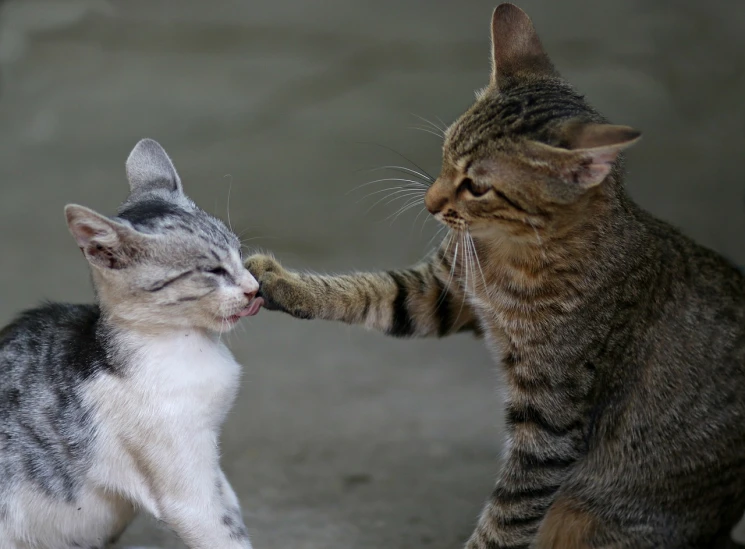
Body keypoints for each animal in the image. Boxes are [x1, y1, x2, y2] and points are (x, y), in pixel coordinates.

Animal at [0, 138, 264, 548]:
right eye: (213, 270)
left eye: (238, 254)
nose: (255, 288)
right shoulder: (187, 486)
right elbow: (222, 534)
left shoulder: (212, 468)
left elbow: (230, 512)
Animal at [247, 4, 744, 548]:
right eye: (445, 150)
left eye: (478, 187)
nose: (429, 202)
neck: (510, 253)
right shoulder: (443, 292)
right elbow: (368, 291)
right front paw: (283, 283)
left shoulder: (550, 422)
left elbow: (508, 516)